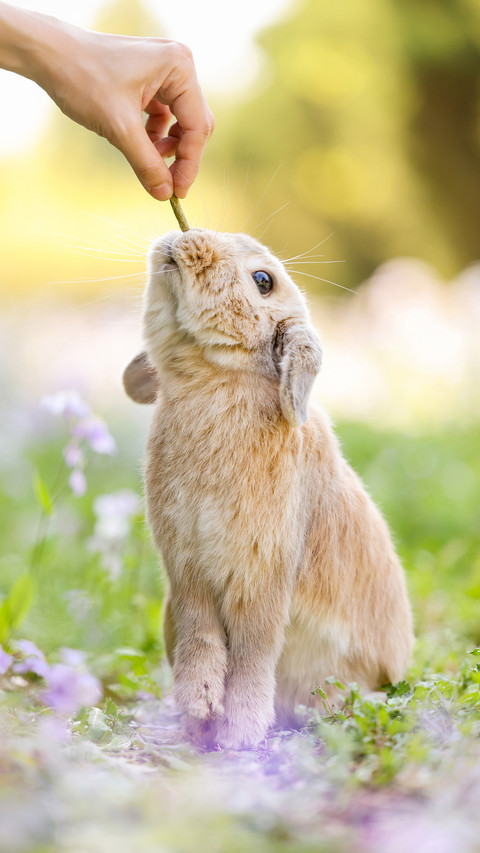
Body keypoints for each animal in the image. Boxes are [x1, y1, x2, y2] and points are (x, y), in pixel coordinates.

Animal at [123, 227, 414, 750]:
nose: (185, 237)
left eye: (263, 281)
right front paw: (201, 708)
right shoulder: (186, 570)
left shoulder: (263, 571)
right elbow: (202, 634)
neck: (217, 380)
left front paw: (239, 735)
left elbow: (253, 649)